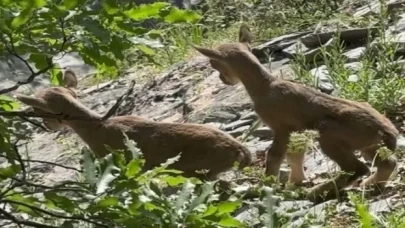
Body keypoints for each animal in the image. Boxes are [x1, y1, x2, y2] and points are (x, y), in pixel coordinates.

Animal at [192, 24, 398, 203]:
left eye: (215, 64)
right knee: (388, 163)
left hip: (328, 131)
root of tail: (390, 133)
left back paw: (318, 192)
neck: (265, 86)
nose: (223, 79)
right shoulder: (295, 130)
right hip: (369, 145)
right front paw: (294, 183)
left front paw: (265, 186)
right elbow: (295, 153)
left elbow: (274, 156)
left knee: (357, 168)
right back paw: (371, 185)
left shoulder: (280, 126)